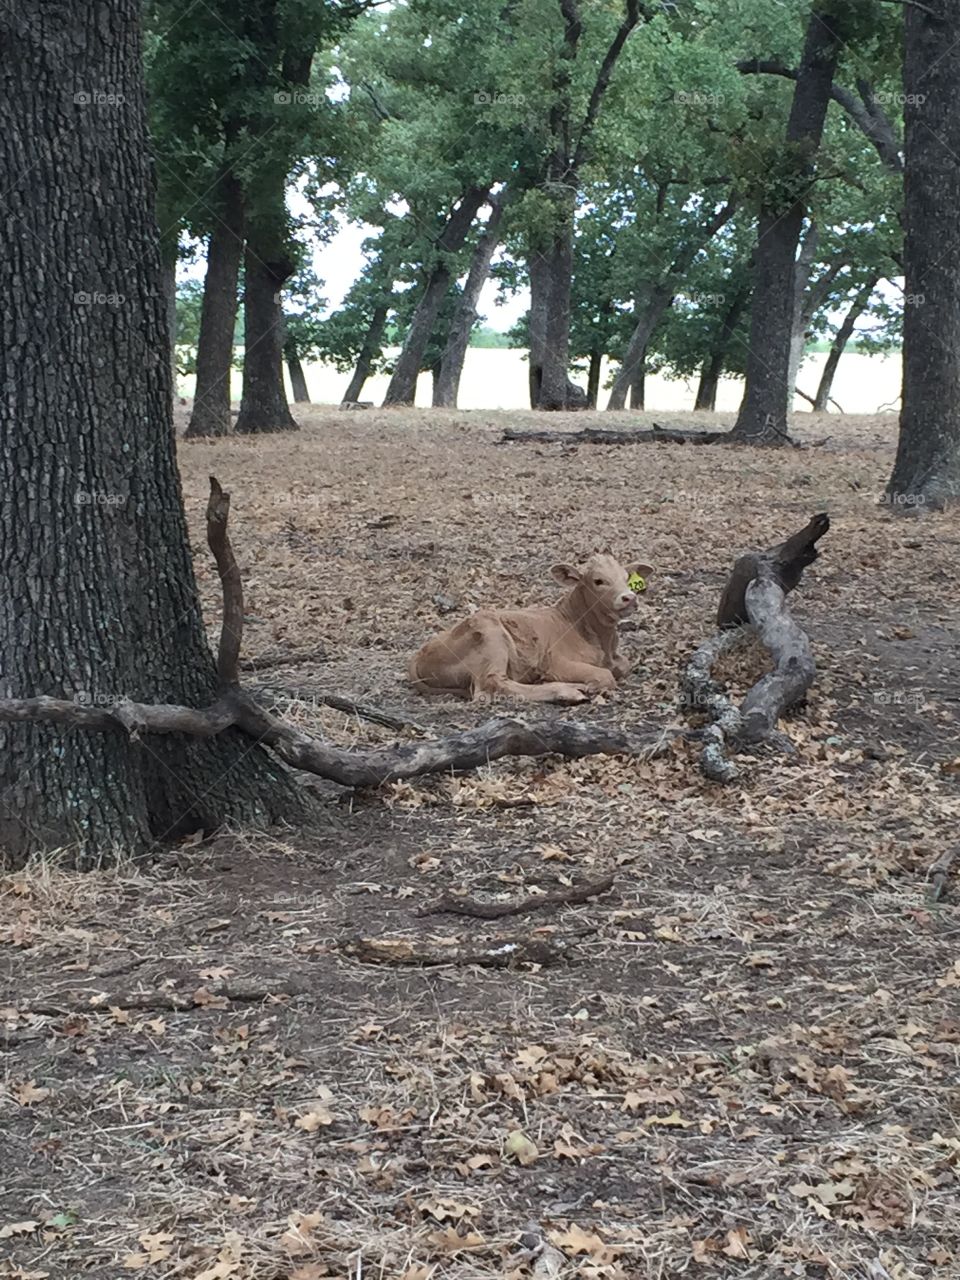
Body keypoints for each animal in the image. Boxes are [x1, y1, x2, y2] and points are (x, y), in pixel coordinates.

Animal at [407, 550, 655, 706]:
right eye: (598, 581)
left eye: (626, 578)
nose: (629, 598)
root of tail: (419, 654)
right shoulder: (556, 661)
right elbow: (605, 676)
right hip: (491, 636)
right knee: (492, 684)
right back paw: (566, 691)